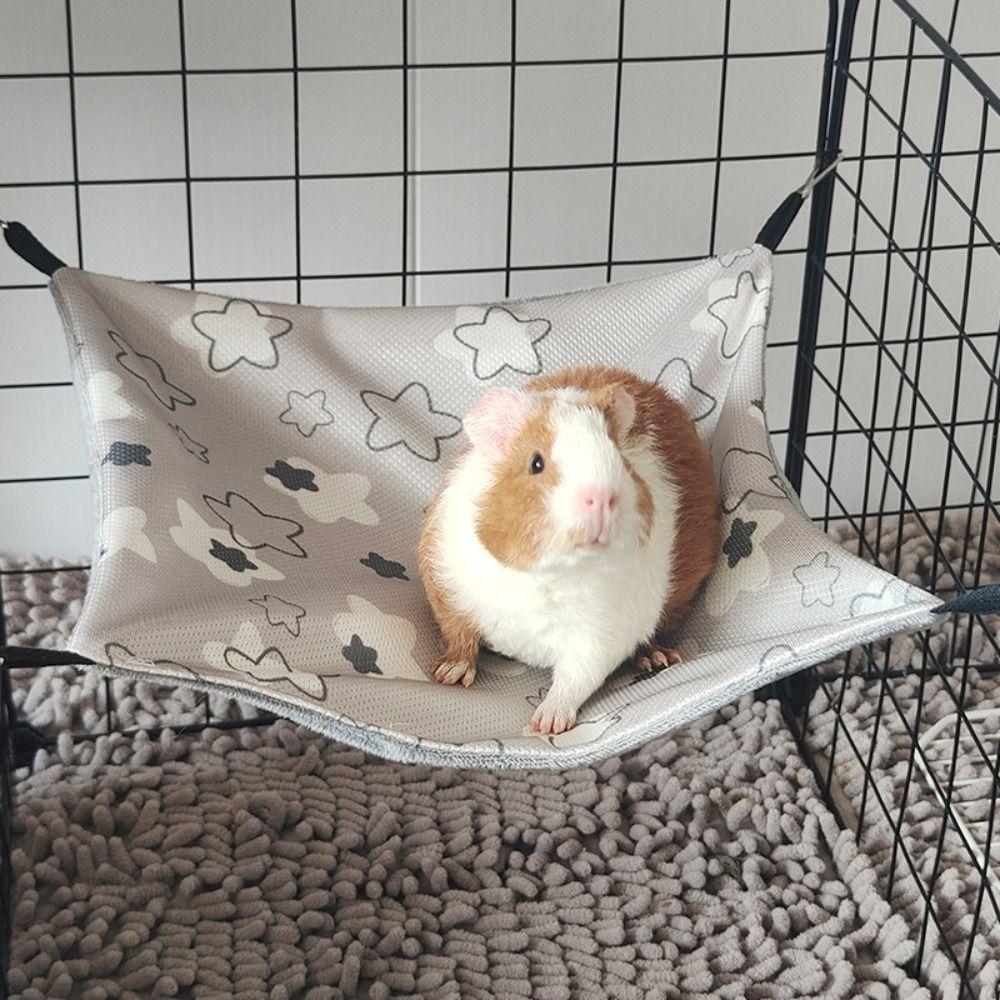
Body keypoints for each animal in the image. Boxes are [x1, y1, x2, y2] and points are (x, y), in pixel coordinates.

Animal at [418, 364, 721, 735]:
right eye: (536, 463)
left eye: (619, 459)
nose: (603, 498)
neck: (548, 575)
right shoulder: (447, 586)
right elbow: (459, 636)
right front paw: (448, 676)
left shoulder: (599, 639)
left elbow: (574, 681)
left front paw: (544, 725)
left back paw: (658, 659)